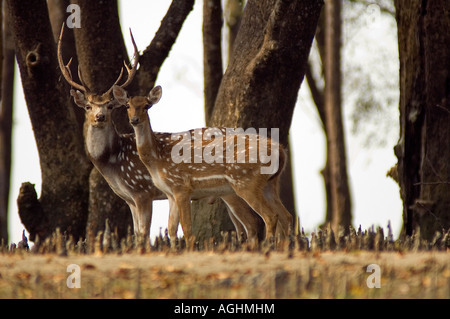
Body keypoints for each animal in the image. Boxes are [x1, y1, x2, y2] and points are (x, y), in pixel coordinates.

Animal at [113, 85, 292, 245]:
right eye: (127, 106)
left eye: (147, 106)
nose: (134, 120)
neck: (157, 159)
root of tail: (280, 151)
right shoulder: (170, 193)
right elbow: (171, 229)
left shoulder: (181, 187)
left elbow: (187, 230)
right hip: (269, 183)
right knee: (286, 216)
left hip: (246, 182)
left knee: (269, 217)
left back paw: (268, 246)